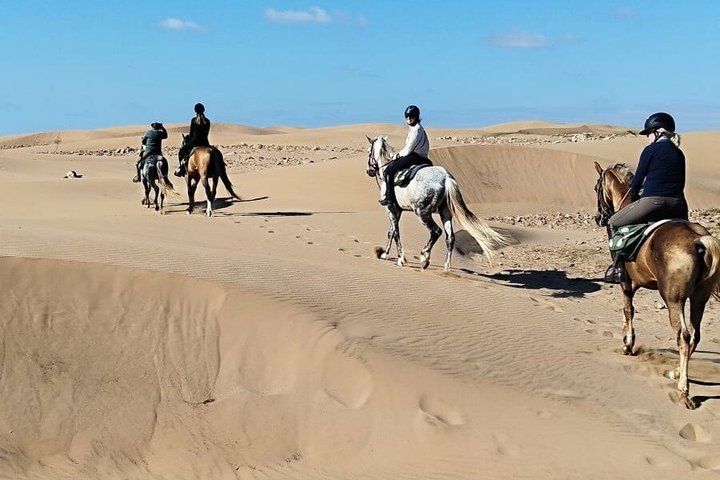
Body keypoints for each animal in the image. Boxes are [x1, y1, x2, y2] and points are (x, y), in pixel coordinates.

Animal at [366, 136, 508, 271]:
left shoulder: (390, 208)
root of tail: (446, 178)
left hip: (422, 213)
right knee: (450, 237)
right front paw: (385, 254)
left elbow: (395, 233)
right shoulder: (397, 211)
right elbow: (391, 232)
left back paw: (424, 258)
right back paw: (446, 267)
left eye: (368, 151)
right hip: (445, 212)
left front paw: (400, 259)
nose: (369, 171)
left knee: (436, 231)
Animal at [593, 161, 720, 409]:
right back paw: (676, 373)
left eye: (596, 188)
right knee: (695, 335)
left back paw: (683, 391)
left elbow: (628, 310)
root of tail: (698, 239)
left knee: (684, 336)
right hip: (699, 298)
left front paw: (628, 344)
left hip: (674, 299)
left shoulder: (626, 283)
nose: (598, 217)